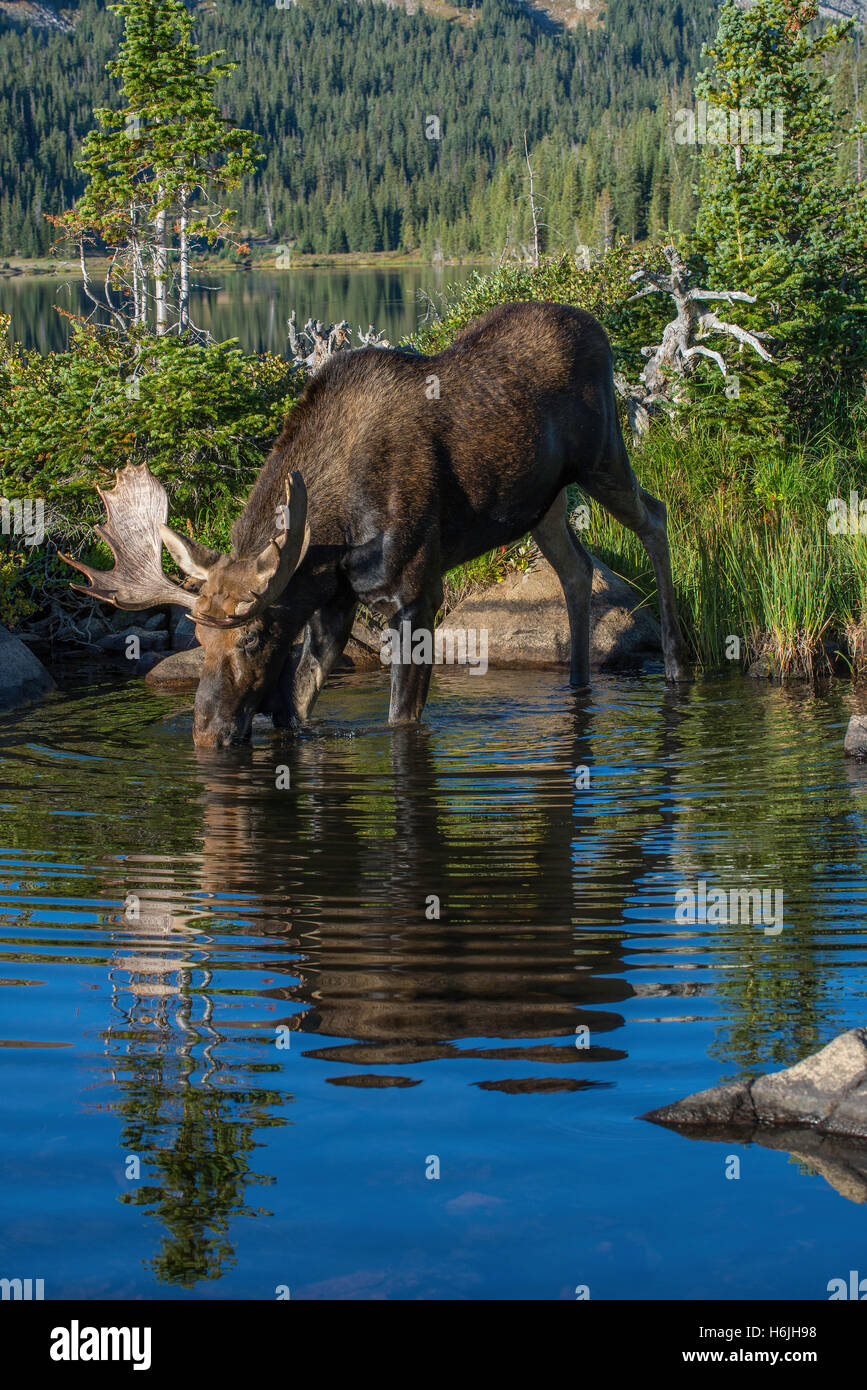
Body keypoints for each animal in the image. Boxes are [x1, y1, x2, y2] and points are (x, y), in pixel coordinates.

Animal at [64, 298, 686, 745]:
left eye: (255, 637)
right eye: (197, 636)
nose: (207, 734)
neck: (330, 537)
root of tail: (599, 328)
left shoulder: (415, 594)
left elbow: (399, 719)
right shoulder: (332, 603)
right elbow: (299, 702)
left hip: (603, 456)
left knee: (655, 519)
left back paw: (676, 664)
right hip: (543, 502)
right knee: (576, 567)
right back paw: (579, 682)